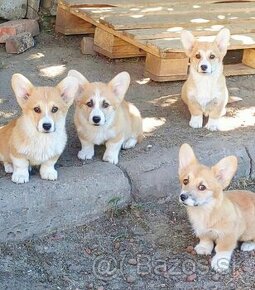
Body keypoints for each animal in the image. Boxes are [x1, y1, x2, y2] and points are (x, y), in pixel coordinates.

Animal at [178, 144, 255, 274]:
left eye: (202, 187)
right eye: (185, 181)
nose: (182, 196)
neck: (205, 211)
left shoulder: (228, 236)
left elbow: (222, 249)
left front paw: (220, 262)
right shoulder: (202, 231)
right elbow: (205, 239)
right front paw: (204, 247)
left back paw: (248, 244)